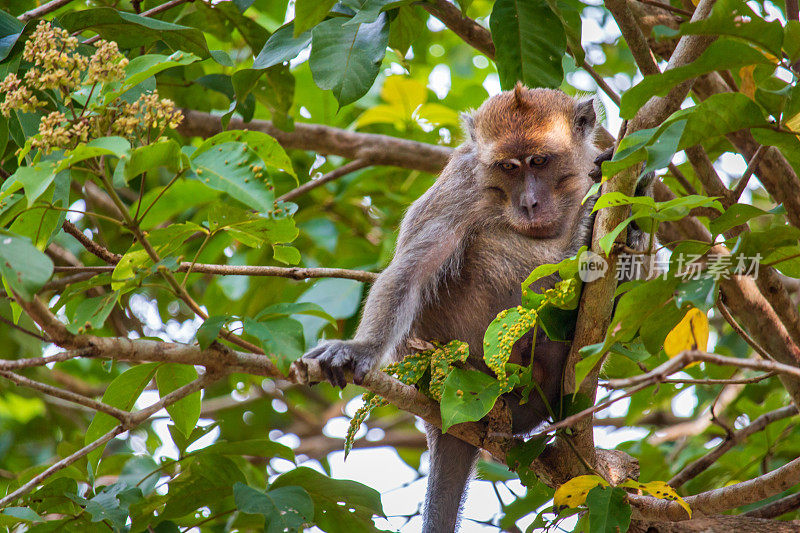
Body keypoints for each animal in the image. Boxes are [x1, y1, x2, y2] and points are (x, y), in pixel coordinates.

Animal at [304, 85, 608, 528]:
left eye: (539, 161)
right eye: (508, 167)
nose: (530, 203)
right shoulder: (464, 183)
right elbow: (414, 267)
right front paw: (360, 348)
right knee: (488, 247)